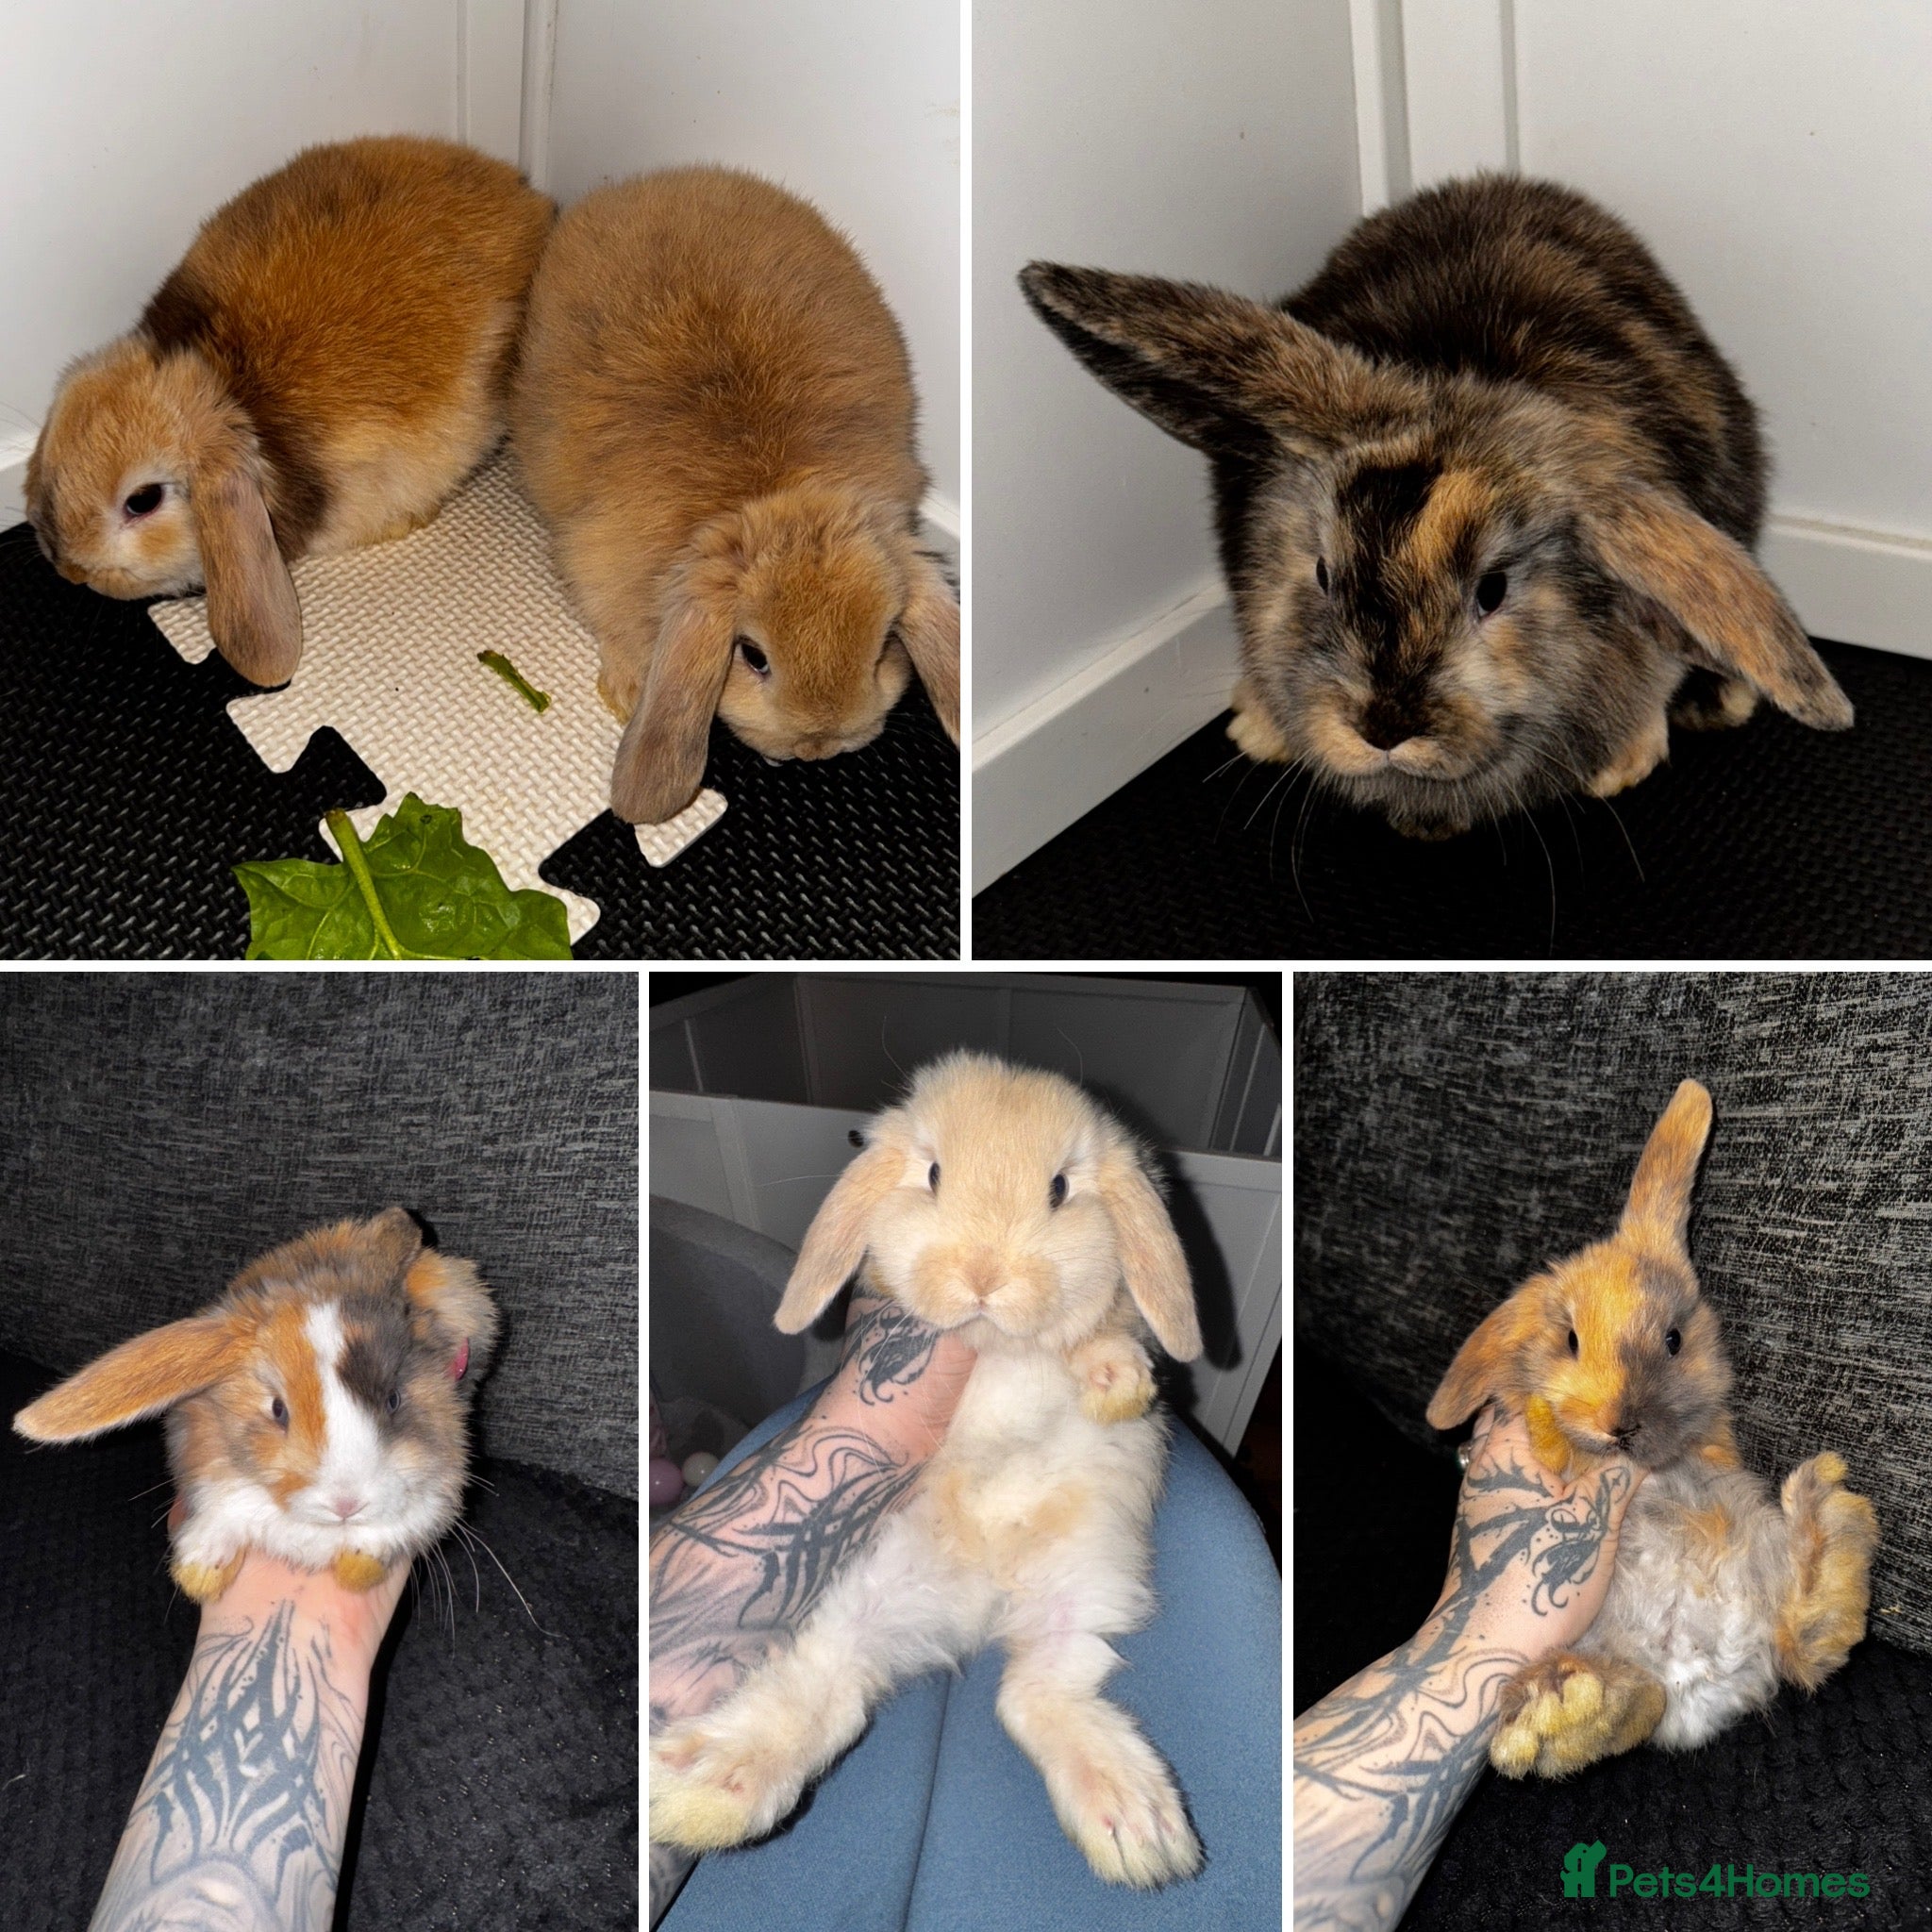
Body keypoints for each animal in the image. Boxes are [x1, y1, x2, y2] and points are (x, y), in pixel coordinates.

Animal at [12, 1208, 498, 1604]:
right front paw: (201, 1567)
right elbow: (223, 1514)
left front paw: (360, 1559)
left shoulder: (439, 1488)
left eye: (394, 1398)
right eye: (278, 1410)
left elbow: (401, 1525)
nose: (346, 1504)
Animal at [510, 167, 960, 824]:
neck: (775, 491)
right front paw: (627, 689)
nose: (817, 746)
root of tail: (668, 182)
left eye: (883, 645)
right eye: (752, 655)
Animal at [650, 1054, 1205, 1887]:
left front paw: (1117, 1386)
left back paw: (1135, 1825)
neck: (995, 1345)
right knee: (829, 1685)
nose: (983, 1275)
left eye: (1060, 1189)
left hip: (1087, 1579)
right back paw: (705, 1791)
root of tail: (982, 1603)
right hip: (855, 1588)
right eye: (934, 1174)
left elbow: (1106, 1330)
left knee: (1034, 1691)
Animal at [1426, 1079, 1879, 1777]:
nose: (1619, 1425)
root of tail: (1700, 1675)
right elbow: (1553, 1450)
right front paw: (1543, 1417)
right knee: (1646, 1700)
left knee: (1802, 1642)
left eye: (1673, 1340)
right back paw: (1568, 1707)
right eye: (1570, 1339)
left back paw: (1828, 1522)